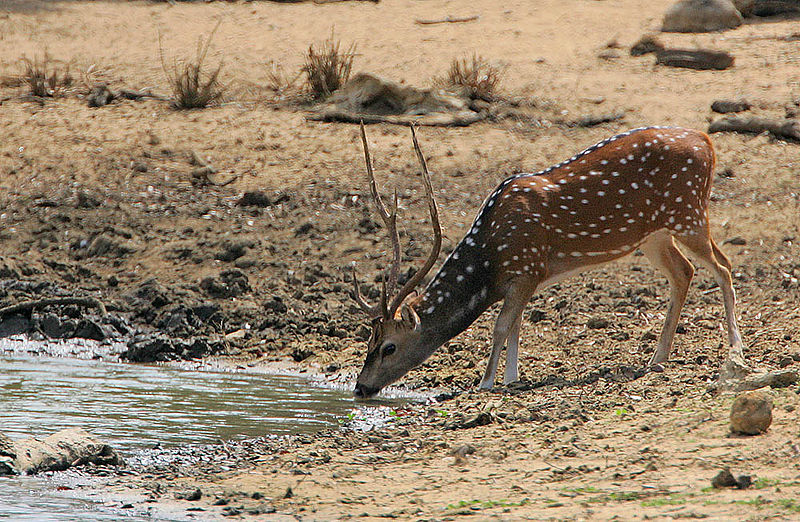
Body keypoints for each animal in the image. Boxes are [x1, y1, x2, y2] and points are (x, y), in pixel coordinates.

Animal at [354, 124, 748, 396]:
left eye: (389, 347)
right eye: (368, 342)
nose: (360, 387)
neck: (491, 259)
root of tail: (706, 141)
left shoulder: (527, 266)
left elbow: (501, 325)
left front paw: (486, 382)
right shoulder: (527, 276)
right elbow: (516, 324)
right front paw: (512, 377)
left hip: (689, 213)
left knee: (724, 266)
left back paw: (735, 349)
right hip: (654, 235)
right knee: (685, 271)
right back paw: (658, 357)